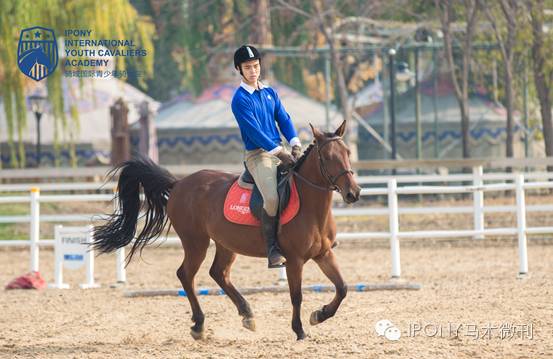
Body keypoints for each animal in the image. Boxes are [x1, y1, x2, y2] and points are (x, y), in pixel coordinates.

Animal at [92, 121, 360, 340]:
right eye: (327, 157)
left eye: (347, 153)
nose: (353, 193)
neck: (311, 206)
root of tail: (178, 184)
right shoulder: (294, 261)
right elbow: (297, 296)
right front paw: (300, 330)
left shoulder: (323, 254)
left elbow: (343, 288)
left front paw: (320, 315)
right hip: (195, 242)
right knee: (186, 274)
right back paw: (200, 325)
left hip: (225, 244)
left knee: (218, 273)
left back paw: (247, 314)